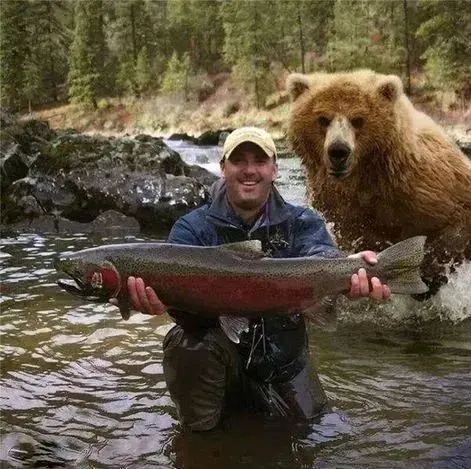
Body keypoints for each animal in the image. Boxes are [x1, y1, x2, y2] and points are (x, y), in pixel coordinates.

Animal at [286, 70, 471, 294]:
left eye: (358, 119)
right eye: (323, 118)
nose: (338, 151)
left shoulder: (427, 189)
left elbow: (452, 227)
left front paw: (430, 272)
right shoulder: (340, 207)